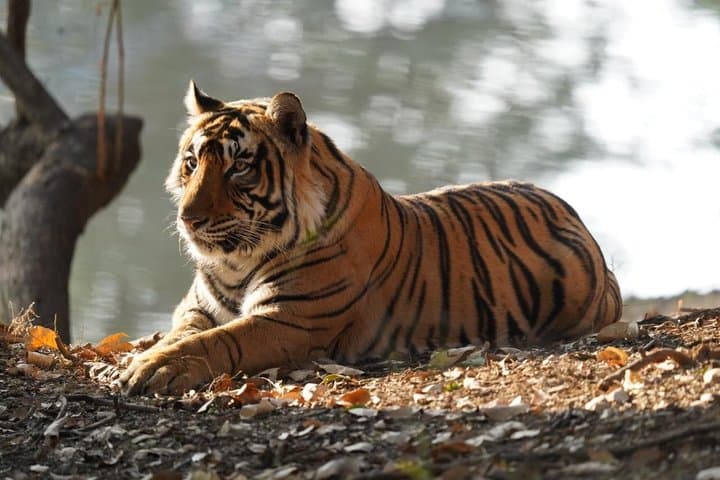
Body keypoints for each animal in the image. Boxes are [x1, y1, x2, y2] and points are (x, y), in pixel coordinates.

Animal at [117, 81, 622, 395]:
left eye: (239, 166)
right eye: (191, 162)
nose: (189, 218)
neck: (236, 263)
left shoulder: (290, 319)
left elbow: (218, 341)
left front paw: (153, 368)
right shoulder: (197, 308)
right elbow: (183, 333)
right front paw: (145, 359)